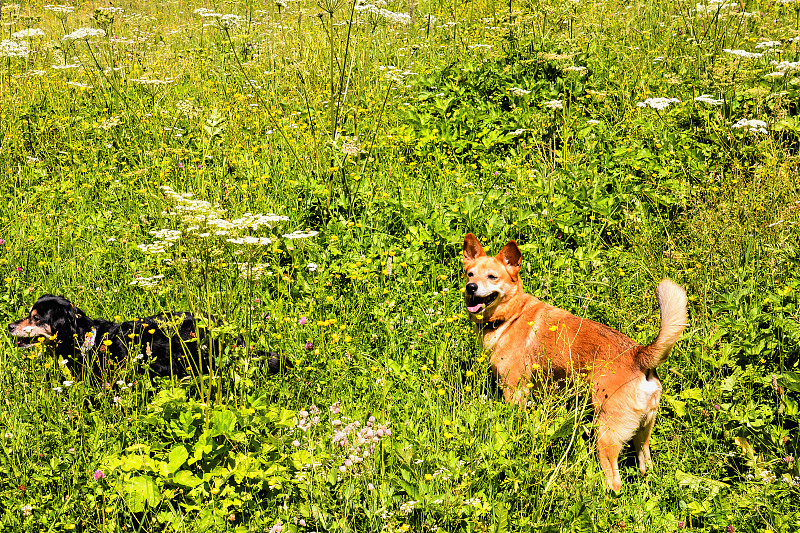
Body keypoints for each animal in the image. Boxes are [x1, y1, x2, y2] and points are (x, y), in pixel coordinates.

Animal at [462, 233, 688, 490]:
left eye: (492, 277)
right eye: (470, 274)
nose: (470, 287)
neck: (511, 316)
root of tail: (639, 355)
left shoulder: (515, 390)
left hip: (606, 435)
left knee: (614, 482)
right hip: (643, 435)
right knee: (645, 464)